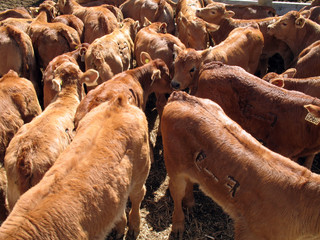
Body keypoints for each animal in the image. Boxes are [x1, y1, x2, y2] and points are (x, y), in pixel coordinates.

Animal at [161, 90, 320, 240]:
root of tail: (182, 96)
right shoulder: (247, 230)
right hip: (174, 166)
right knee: (176, 193)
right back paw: (178, 226)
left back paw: (190, 204)